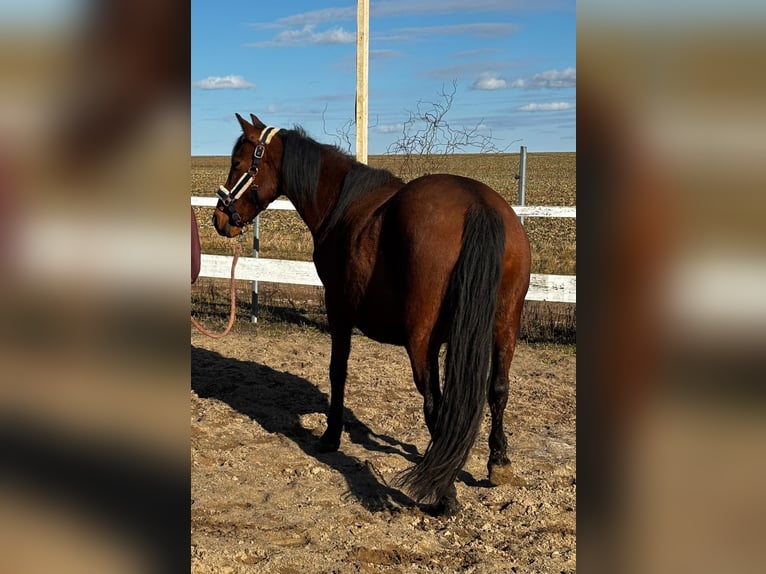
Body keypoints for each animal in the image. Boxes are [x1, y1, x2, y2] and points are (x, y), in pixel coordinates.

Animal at [212, 113, 531, 514]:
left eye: (239, 163)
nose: (219, 218)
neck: (342, 203)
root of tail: (477, 203)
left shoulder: (338, 308)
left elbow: (338, 371)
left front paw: (331, 436)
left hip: (422, 340)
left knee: (435, 403)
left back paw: (443, 492)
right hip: (505, 326)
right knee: (498, 389)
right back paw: (497, 462)